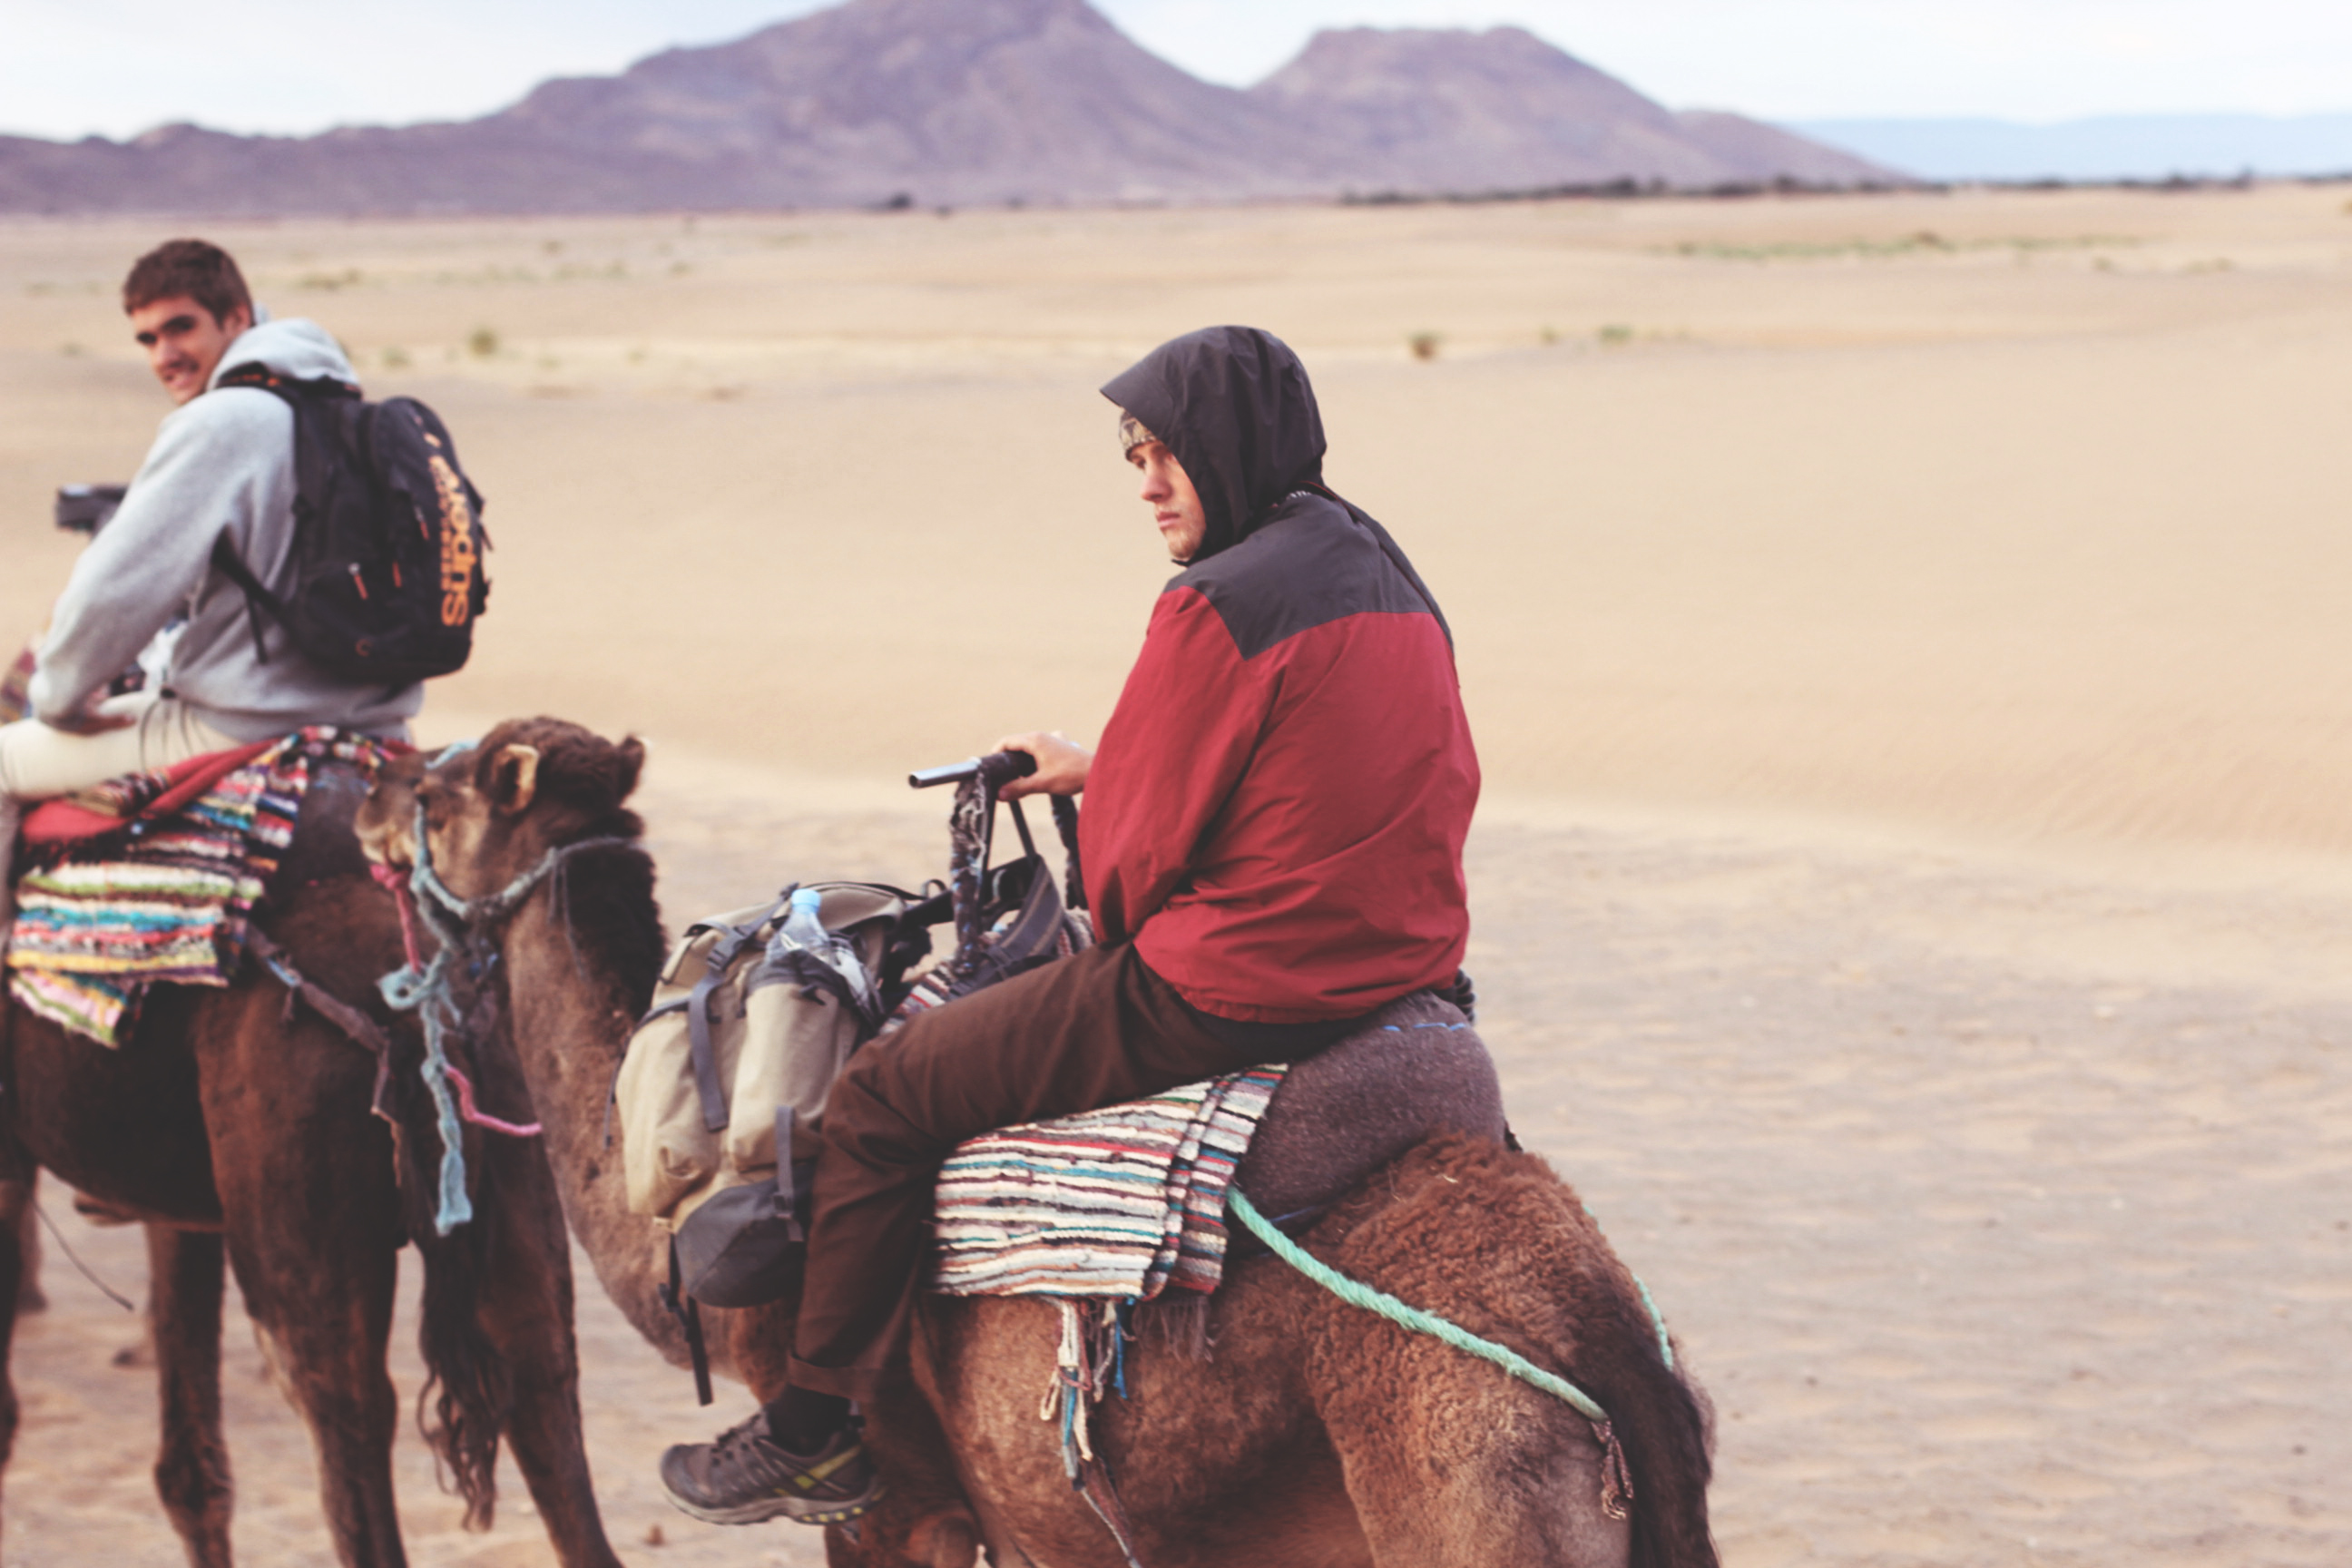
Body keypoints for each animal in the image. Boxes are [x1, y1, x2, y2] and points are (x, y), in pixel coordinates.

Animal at [0, 770, 625, 1568]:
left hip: (300, 1232)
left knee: (348, 1420)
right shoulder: (182, 1211)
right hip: (511, 1177)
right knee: (542, 1392)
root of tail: (420, 1008)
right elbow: (194, 1472)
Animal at [362, 719, 1730, 1568]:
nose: (368, 790)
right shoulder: (1024, 1513)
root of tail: (1601, 1335)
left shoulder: (897, 1506)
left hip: (1470, 1476)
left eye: (437, 796)